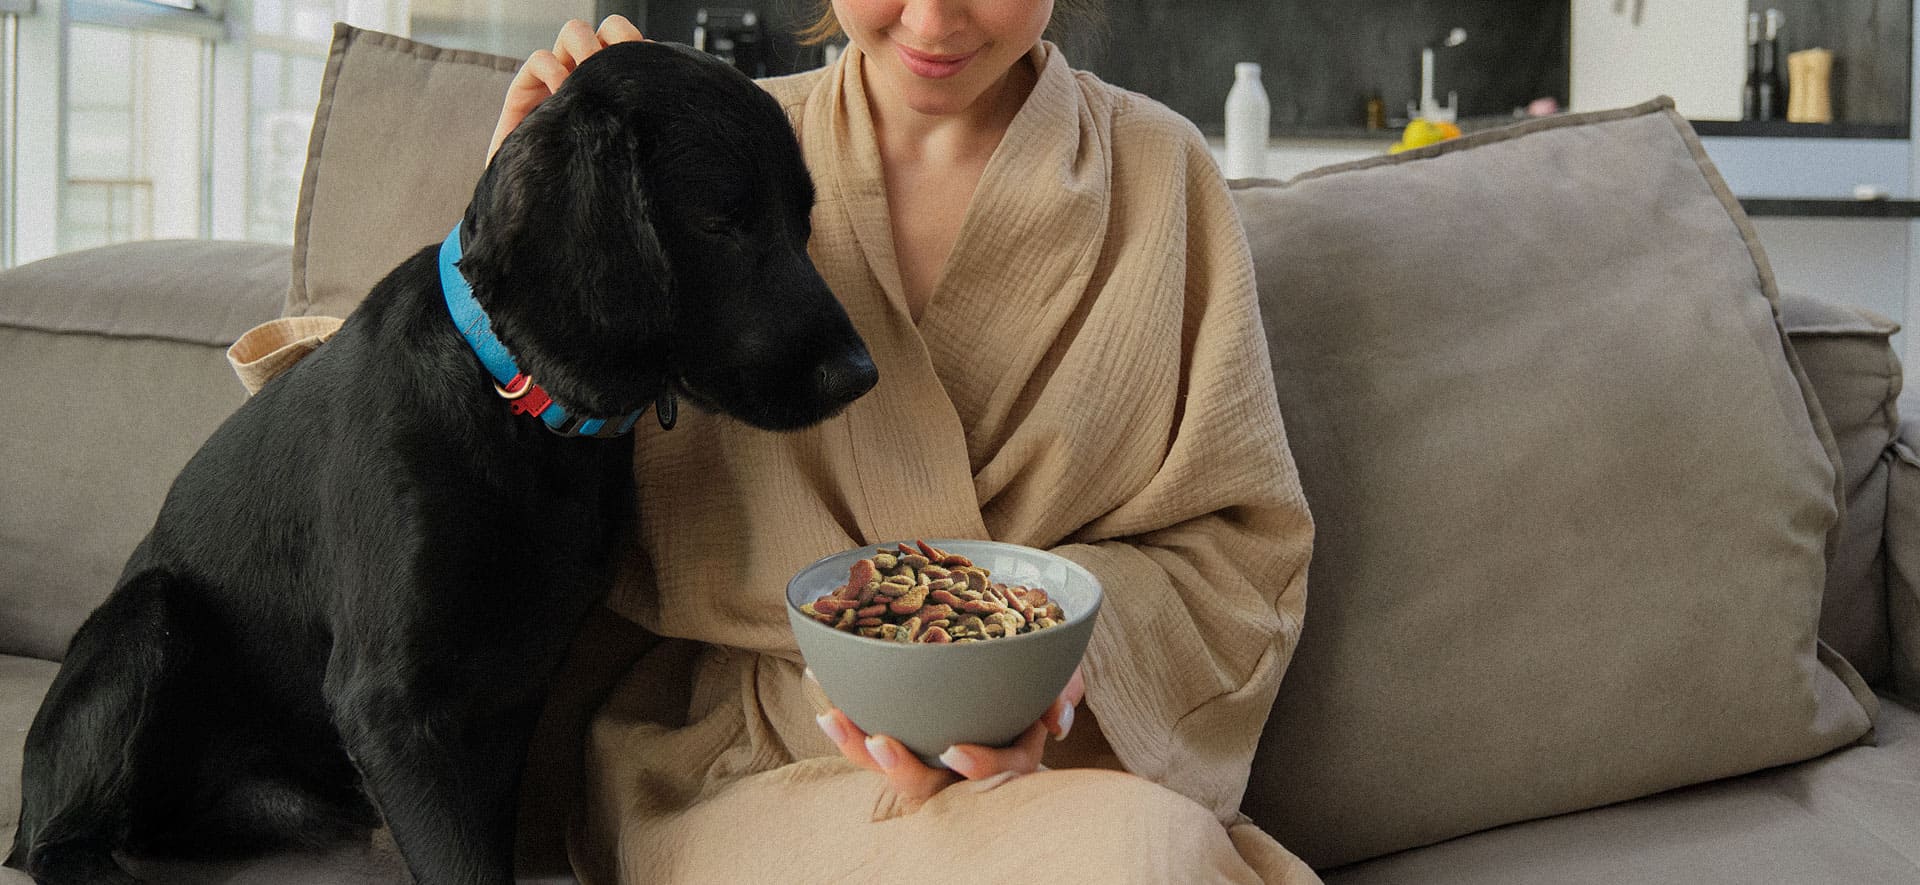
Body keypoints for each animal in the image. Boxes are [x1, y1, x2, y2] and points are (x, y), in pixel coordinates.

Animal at [5, 41, 879, 883]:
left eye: (802, 222)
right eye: (721, 221)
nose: (861, 374)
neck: (517, 404)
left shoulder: (511, 691)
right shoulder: (392, 703)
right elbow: (458, 860)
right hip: (147, 618)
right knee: (52, 842)